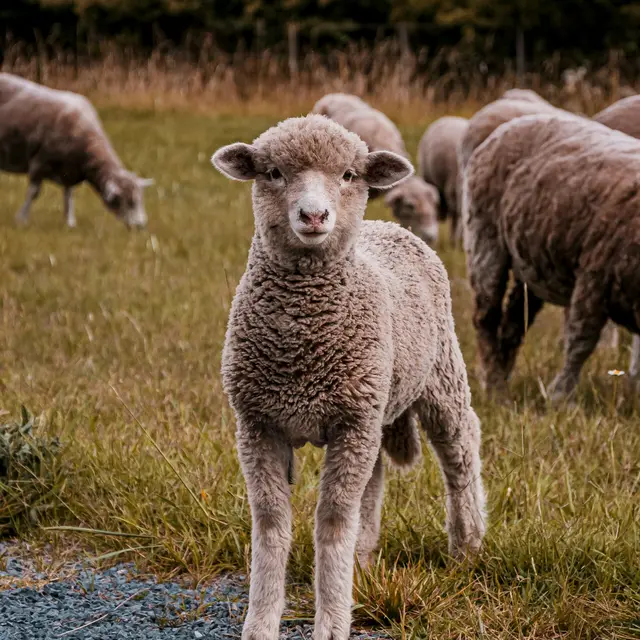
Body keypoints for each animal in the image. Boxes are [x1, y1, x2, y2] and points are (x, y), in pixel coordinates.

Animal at [0, 72, 152, 228]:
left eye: (139, 200)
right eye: (129, 201)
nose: (141, 225)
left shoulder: (69, 171)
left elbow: (69, 196)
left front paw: (70, 223)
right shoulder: (40, 162)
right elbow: (33, 193)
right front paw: (22, 219)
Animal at [463, 112, 640, 401]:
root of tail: (518, 120)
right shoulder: (594, 275)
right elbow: (580, 342)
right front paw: (561, 397)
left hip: (530, 264)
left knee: (513, 324)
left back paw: (504, 379)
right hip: (484, 237)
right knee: (486, 318)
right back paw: (494, 387)